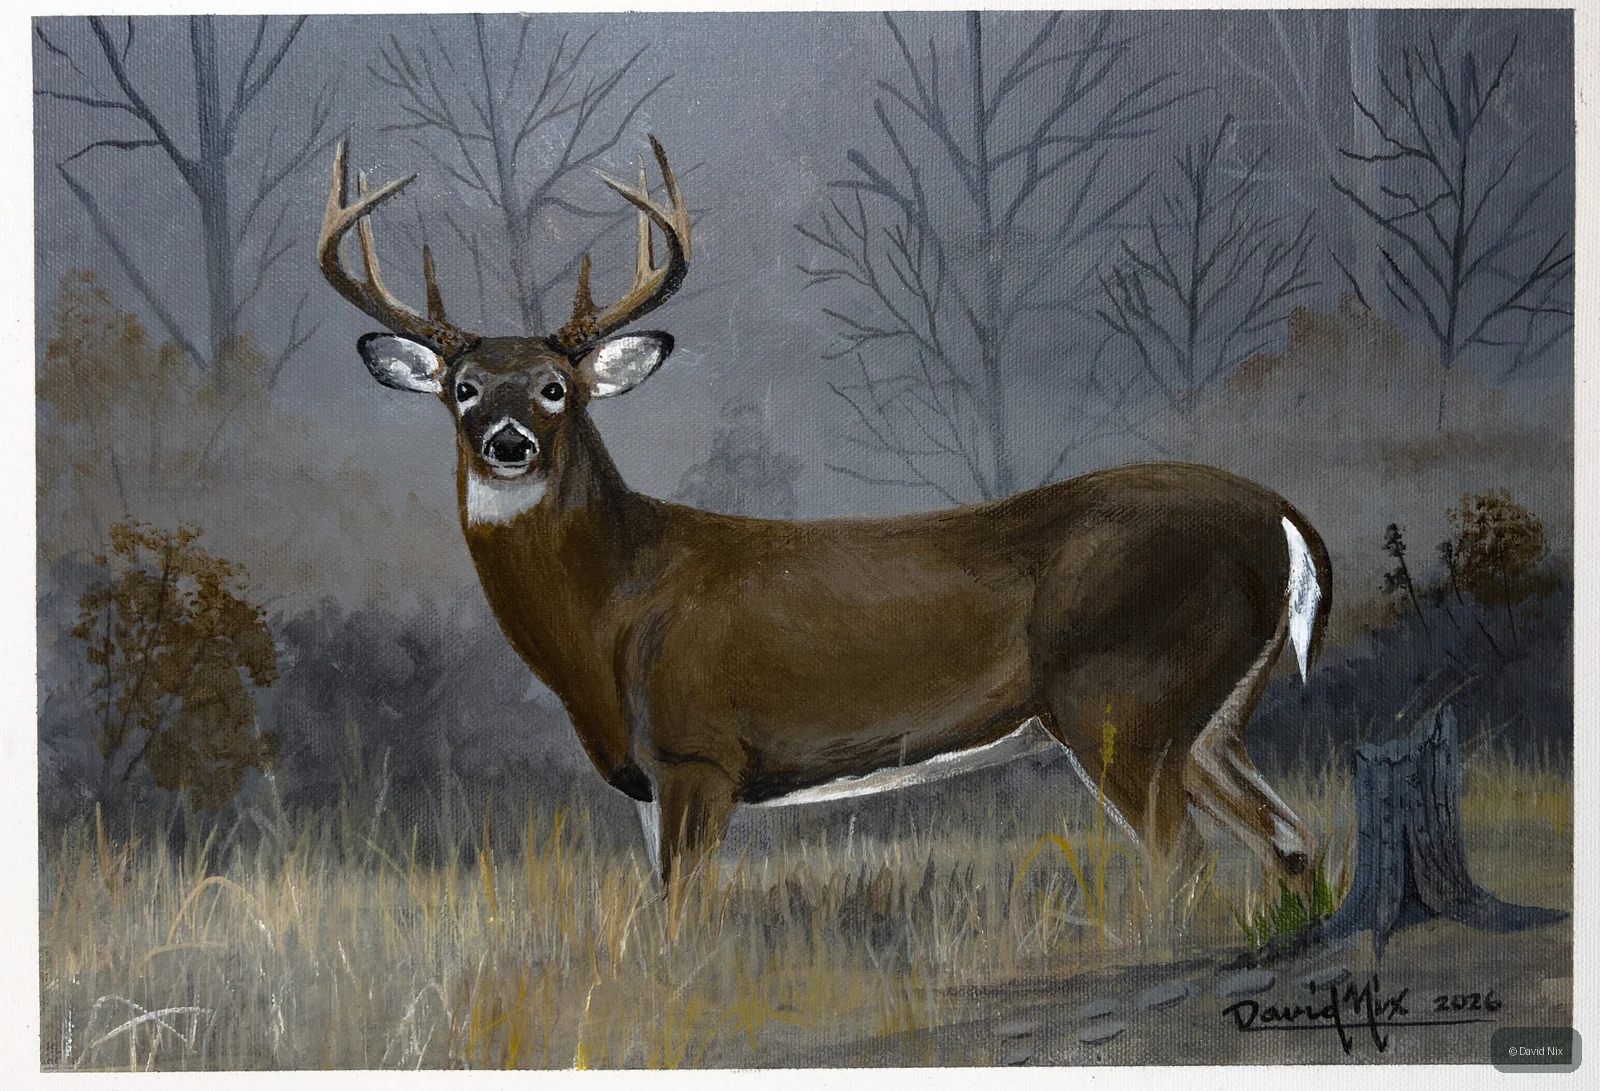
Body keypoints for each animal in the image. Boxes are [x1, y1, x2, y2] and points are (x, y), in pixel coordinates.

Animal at [318, 136, 1333, 898]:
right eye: (463, 387)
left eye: (556, 387)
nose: (508, 443)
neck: (612, 611)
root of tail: (1286, 518)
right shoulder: (647, 781)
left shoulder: (698, 751)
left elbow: (681, 916)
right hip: (1208, 715)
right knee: (1289, 841)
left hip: (1121, 696)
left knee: (1188, 863)